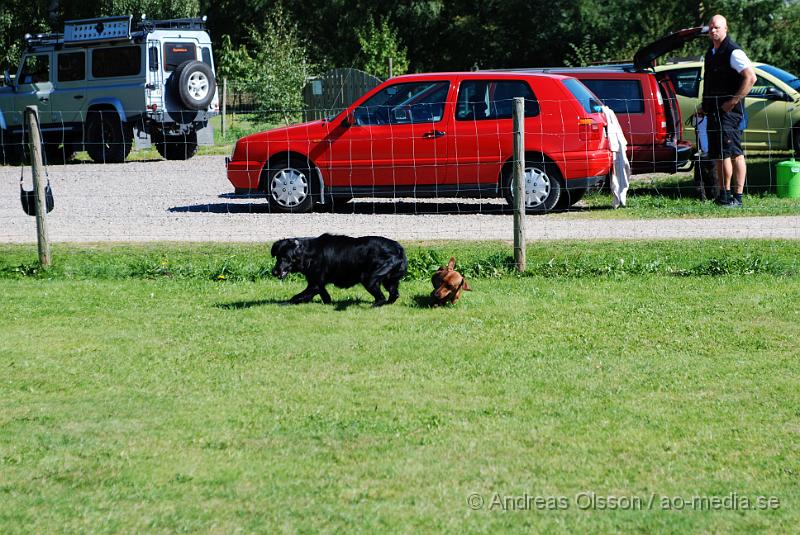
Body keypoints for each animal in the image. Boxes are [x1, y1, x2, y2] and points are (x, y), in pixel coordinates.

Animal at [272, 233, 410, 308]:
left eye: (285, 258)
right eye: (277, 257)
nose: (274, 272)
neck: (307, 253)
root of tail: (399, 249)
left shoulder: (314, 284)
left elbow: (296, 297)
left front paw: (283, 304)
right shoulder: (317, 283)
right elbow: (325, 295)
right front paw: (328, 303)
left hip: (368, 278)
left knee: (381, 298)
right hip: (390, 279)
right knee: (393, 295)